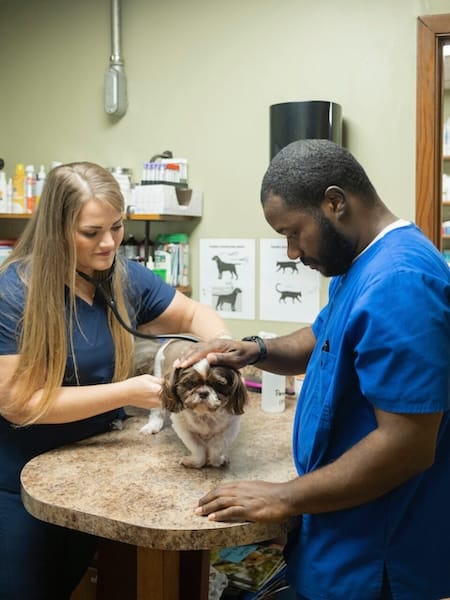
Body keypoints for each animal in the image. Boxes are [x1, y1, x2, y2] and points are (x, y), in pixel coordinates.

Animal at [137, 338, 250, 468]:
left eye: (218, 384)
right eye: (190, 383)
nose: (203, 393)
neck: (205, 415)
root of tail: (173, 340)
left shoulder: (230, 427)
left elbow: (217, 447)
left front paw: (218, 460)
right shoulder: (184, 428)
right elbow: (198, 448)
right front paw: (195, 461)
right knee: (158, 411)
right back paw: (153, 425)